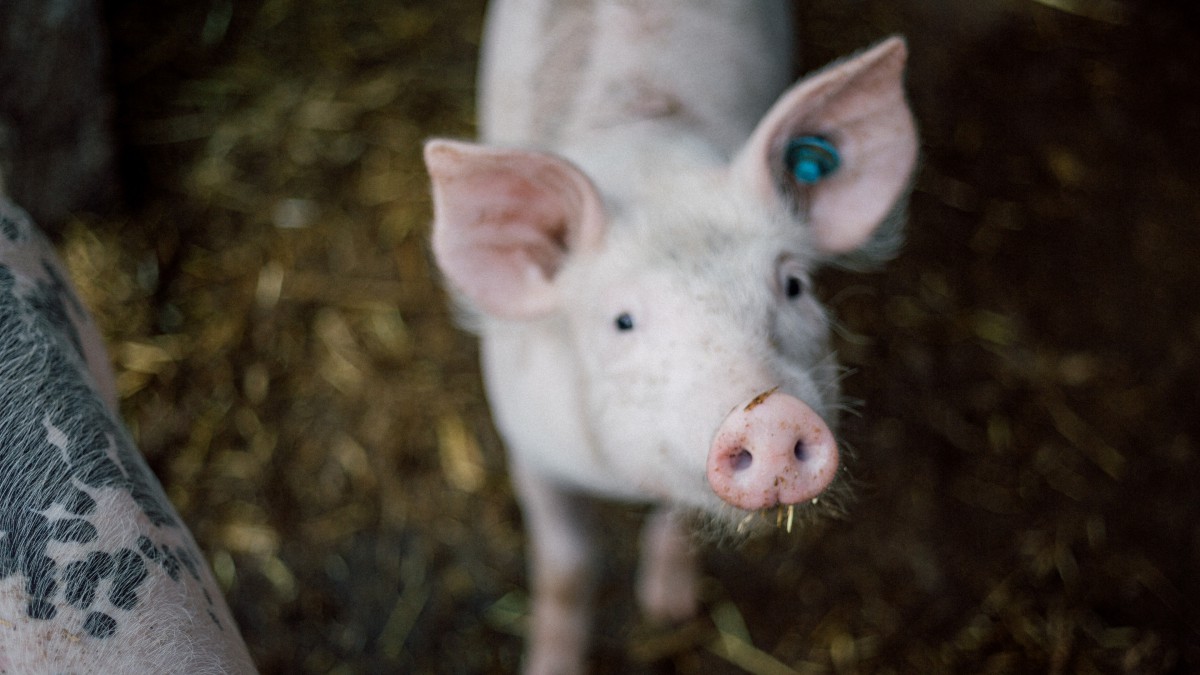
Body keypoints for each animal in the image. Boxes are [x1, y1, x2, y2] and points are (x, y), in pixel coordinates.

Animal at [422, 2, 916, 667]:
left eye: (793, 285)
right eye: (622, 321)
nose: (771, 415)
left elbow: (678, 518)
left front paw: (668, 610)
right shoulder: (527, 443)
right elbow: (567, 565)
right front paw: (551, 664)